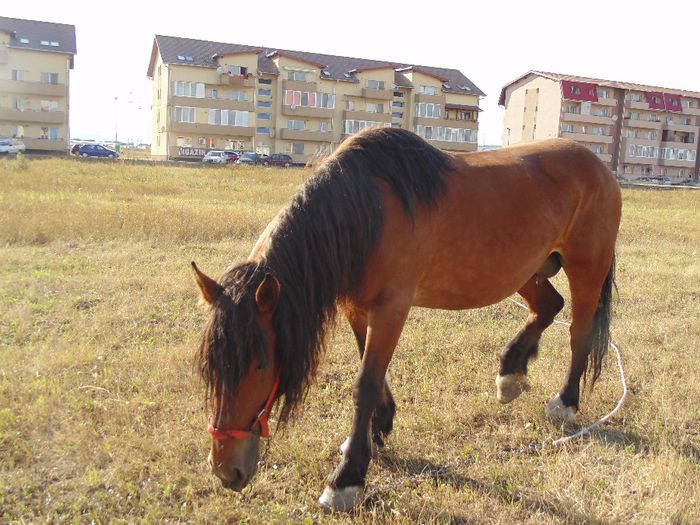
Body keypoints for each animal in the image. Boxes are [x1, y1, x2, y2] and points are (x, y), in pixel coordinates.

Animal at [190, 126, 616, 508]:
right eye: (211, 368)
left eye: (261, 366)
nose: (226, 470)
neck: (367, 212)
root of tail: (600, 166)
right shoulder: (357, 309)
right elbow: (371, 375)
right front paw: (376, 431)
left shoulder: (391, 309)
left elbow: (365, 383)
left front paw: (347, 477)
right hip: (527, 272)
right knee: (548, 307)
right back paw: (511, 373)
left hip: (586, 268)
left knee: (579, 332)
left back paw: (565, 402)